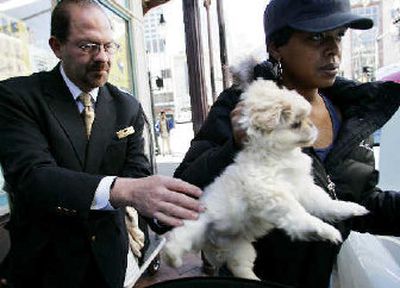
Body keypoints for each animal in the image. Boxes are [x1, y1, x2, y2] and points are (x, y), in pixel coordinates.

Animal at [162, 79, 368, 280]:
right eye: (296, 124)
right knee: (177, 239)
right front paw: (325, 230)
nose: (312, 126)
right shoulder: (272, 192)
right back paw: (172, 257)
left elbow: (326, 204)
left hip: (241, 249)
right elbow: (300, 215)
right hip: (197, 223)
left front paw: (350, 208)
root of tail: (213, 241)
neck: (280, 155)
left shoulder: (304, 188)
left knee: (240, 267)